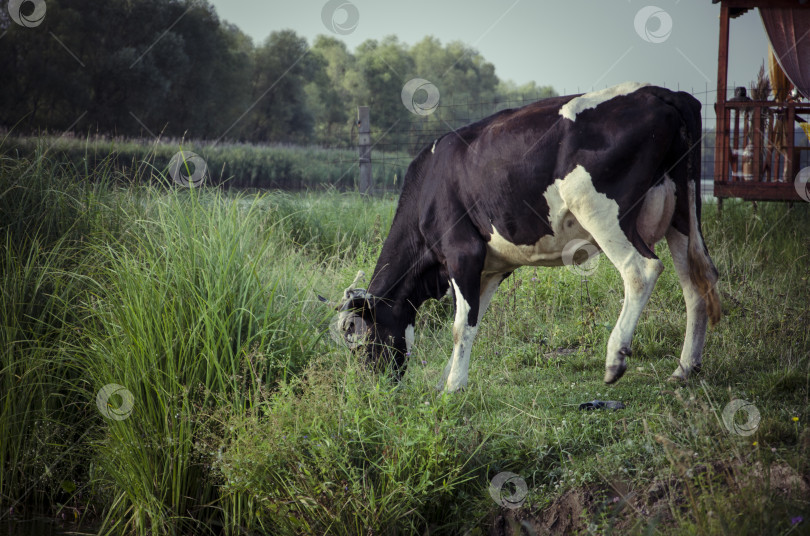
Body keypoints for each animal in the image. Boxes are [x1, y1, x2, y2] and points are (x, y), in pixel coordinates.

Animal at [330, 81, 720, 392]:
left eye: (359, 337)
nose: (373, 387)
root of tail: (660, 92)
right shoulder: (491, 267)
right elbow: (472, 322)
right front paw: (448, 379)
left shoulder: (462, 252)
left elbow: (459, 326)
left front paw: (452, 388)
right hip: (682, 212)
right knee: (695, 281)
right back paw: (685, 367)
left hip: (602, 211)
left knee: (641, 270)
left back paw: (615, 359)